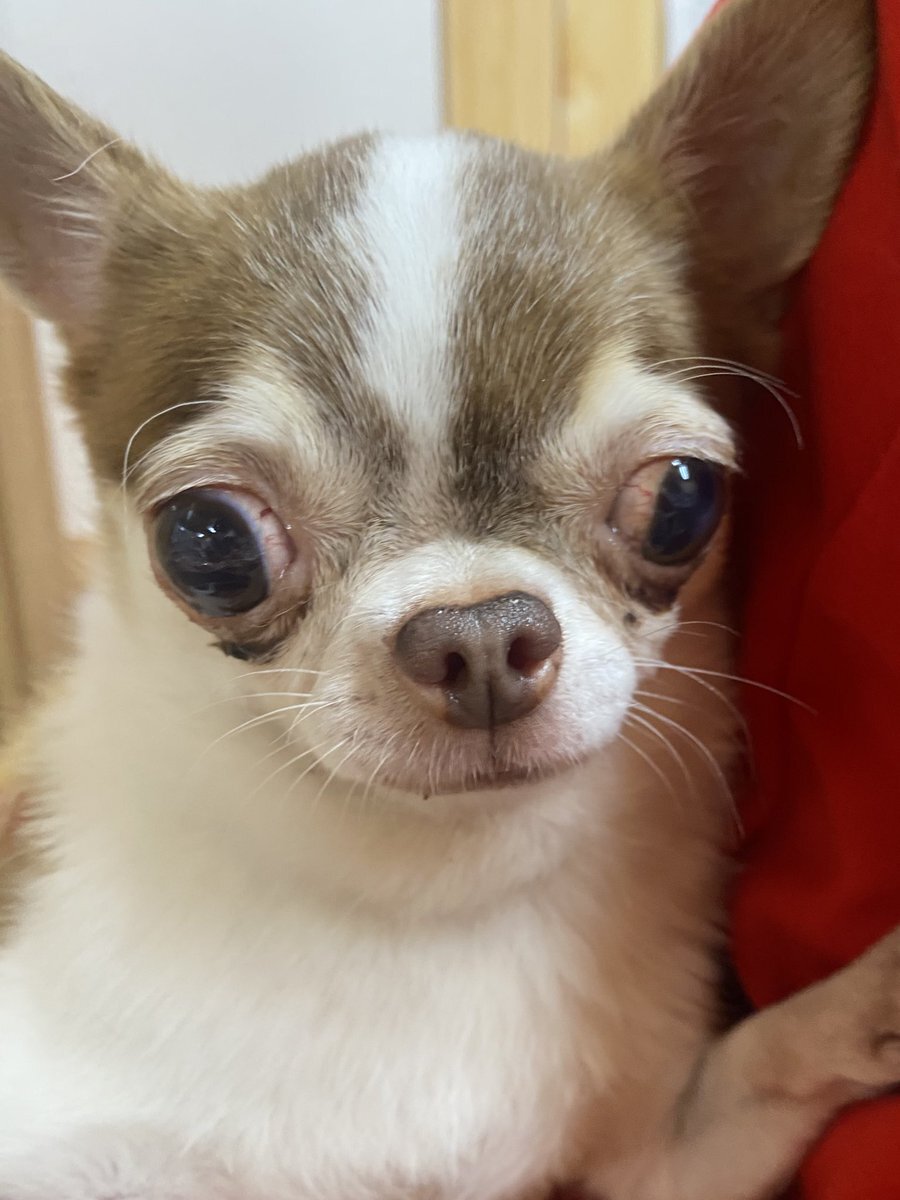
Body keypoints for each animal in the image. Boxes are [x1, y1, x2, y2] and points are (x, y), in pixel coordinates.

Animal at [0, 0, 893, 1196]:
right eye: (209, 544)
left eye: (683, 501)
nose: (476, 634)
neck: (429, 885)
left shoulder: (649, 1164)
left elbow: (758, 1067)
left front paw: (858, 1008)